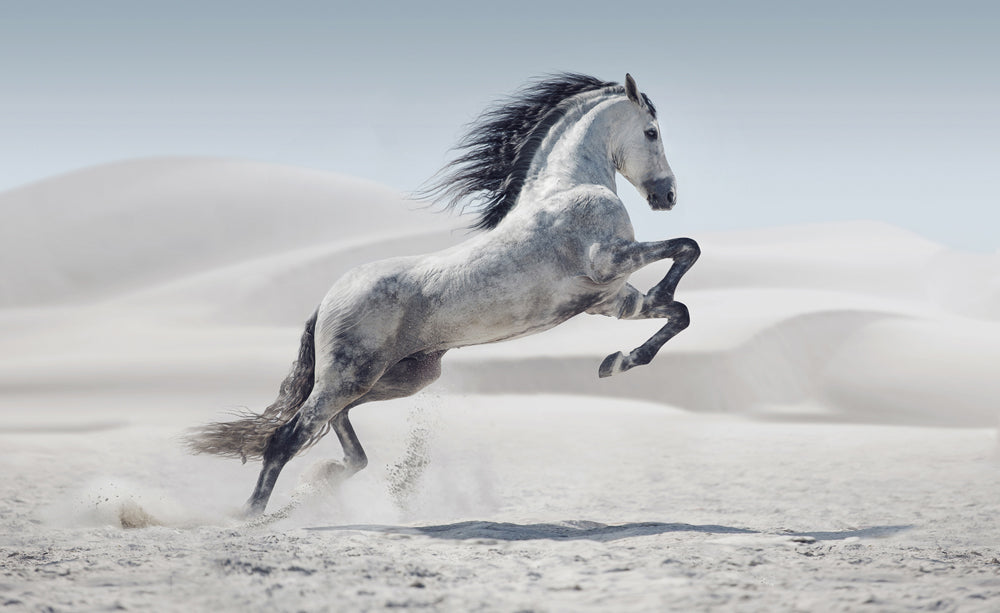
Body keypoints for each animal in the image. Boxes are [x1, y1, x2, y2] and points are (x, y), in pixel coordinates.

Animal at [186, 73, 700, 517]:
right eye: (652, 132)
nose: (668, 196)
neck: (568, 187)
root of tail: (327, 299)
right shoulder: (608, 261)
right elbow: (687, 248)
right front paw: (632, 338)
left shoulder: (611, 300)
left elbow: (679, 312)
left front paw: (617, 362)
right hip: (351, 375)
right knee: (288, 436)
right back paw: (251, 516)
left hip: (398, 378)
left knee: (335, 425)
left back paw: (325, 478)